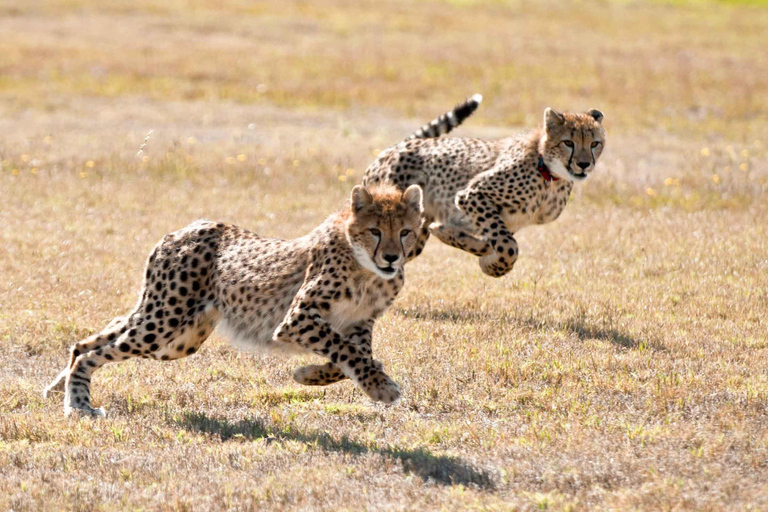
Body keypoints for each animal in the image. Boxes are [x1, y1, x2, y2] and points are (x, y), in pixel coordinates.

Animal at [45, 184, 424, 416]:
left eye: (405, 231)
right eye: (375, 231)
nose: (391, 257)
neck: (366, 270)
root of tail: (183, 229)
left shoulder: (358, 323)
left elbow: (350, 358)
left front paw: (308, 374)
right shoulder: (297, 320)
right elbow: (347, 352)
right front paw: (381, 388)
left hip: (177, 338)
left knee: (100, 334)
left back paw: (59, 388)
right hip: (163, 324)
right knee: (94, 351)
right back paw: (78, 405)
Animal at [364, 103, 608, 276]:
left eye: (595, 143)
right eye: (568, 142)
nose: (584, 164)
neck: (550, 175)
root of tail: (394, 147)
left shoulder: (509, 221)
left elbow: (490, 242)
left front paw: (478, 254)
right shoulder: (472, 195)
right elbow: (509, 246)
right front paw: (492, 265)